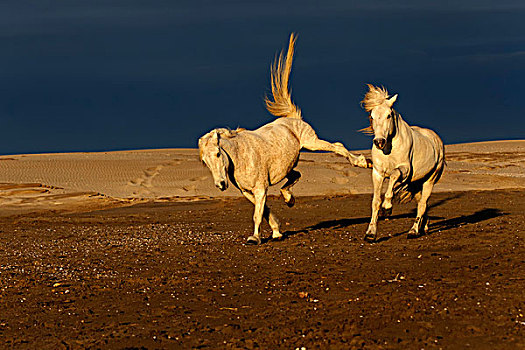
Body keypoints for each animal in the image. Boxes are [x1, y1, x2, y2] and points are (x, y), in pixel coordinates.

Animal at [199, 34, 370, 245]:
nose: (221, 185)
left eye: (217, 154)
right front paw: (276, 231)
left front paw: (255, 238)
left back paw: (361, 162)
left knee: (337, 146)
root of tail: (293, 118)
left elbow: (258, 214)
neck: (240, 157)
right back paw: (289, 199)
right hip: (288, 165)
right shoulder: (248, 192)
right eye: (205, 161)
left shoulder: (260, 188)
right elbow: (264, 211)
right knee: (296, 175)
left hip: (311, 143)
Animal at [362, 86, 444, 242]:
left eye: (389, 115)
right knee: (421, 204)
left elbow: (394, 176)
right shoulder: (378, 173)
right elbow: (375, 202)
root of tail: (436, 140)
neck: (389, 150)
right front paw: (370, 234)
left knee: (422, 205)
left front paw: (387, 207)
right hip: (416, 184)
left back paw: (413, 231)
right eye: (372, 116)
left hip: (429, 181)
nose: (379, 142)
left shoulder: (404, 170)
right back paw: (424, 227)